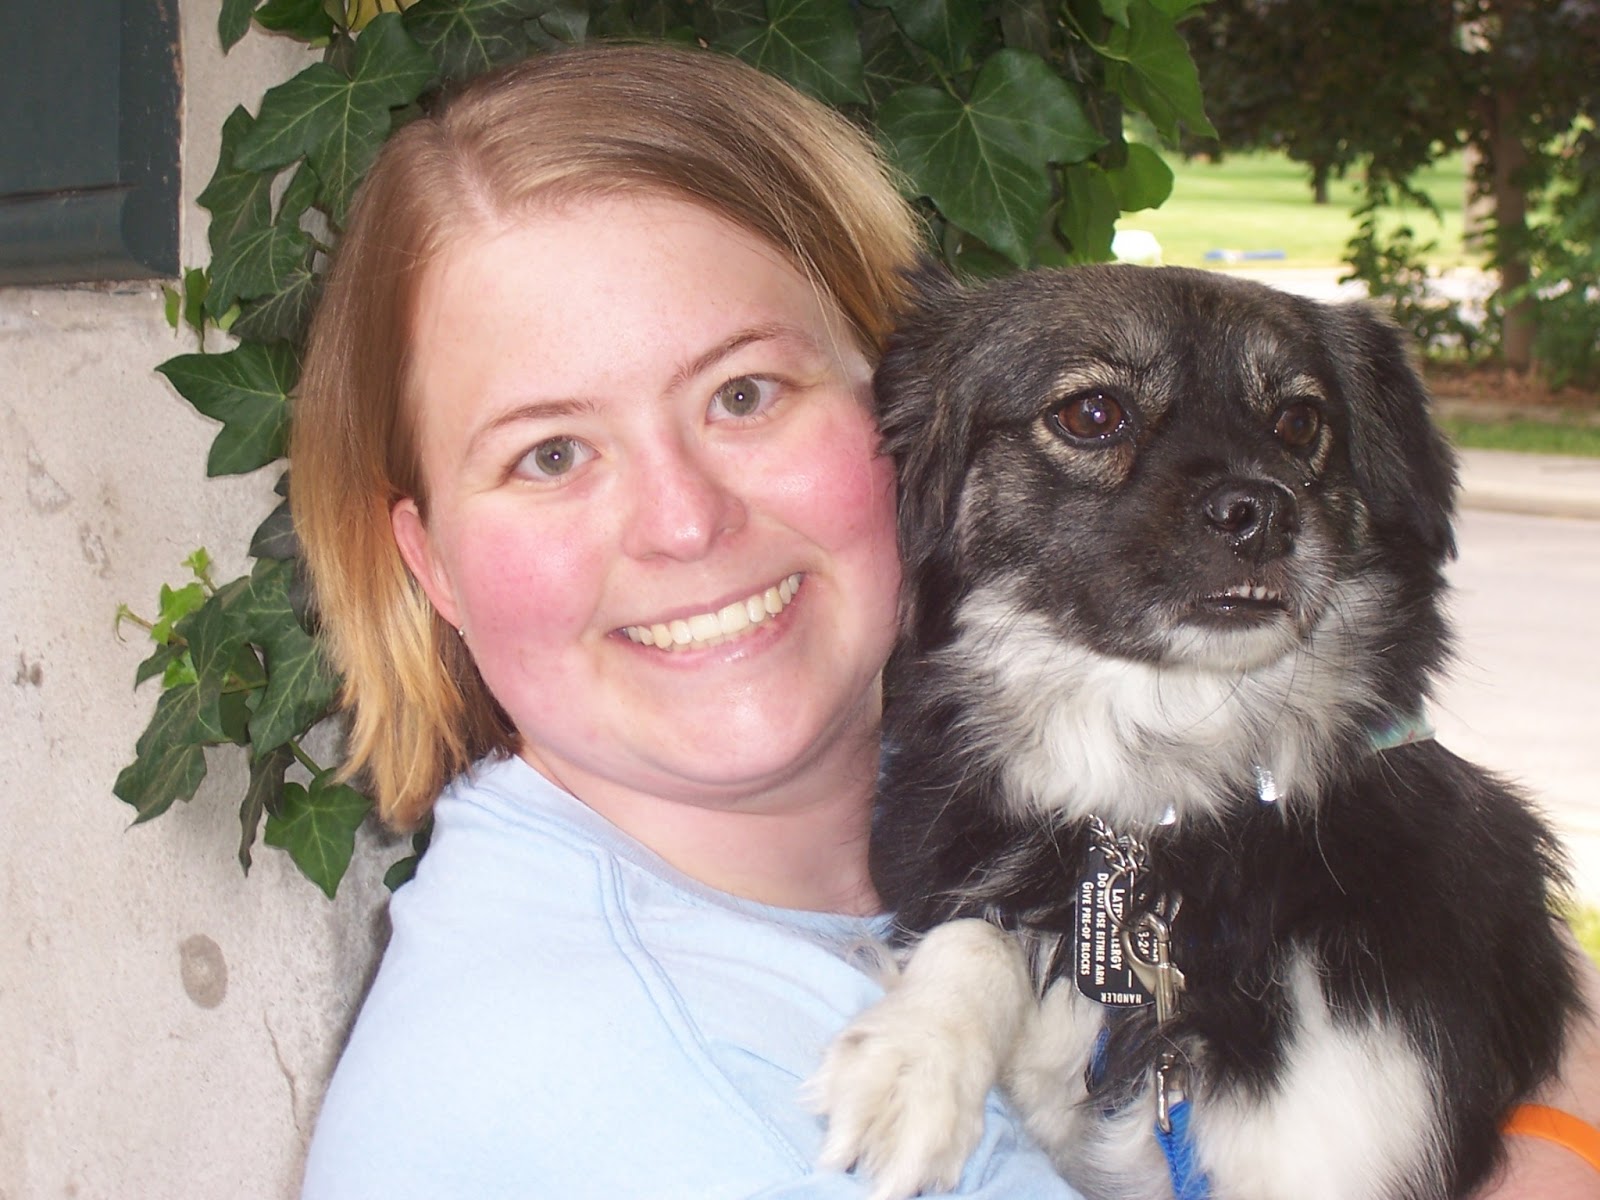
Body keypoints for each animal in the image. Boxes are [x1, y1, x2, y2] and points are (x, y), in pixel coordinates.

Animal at [811, 264, 1583, 1199]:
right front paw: (913, 1060)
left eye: (1299, 422)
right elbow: (978, 936)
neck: (1160, 810)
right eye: (1093, 413)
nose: (1262, 513)